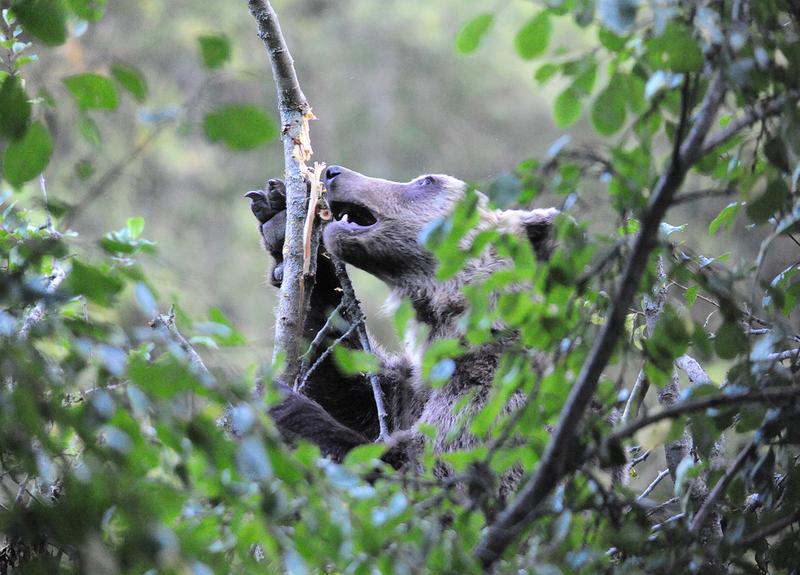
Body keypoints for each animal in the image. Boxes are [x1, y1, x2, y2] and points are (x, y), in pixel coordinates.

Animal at [247, 166, 560, 486]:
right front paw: (279, 214)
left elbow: (416, 470)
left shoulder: (492, 396)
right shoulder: (413, 389)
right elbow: (353, 382)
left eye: (427, 181)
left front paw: (284, 405)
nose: (334, 172)